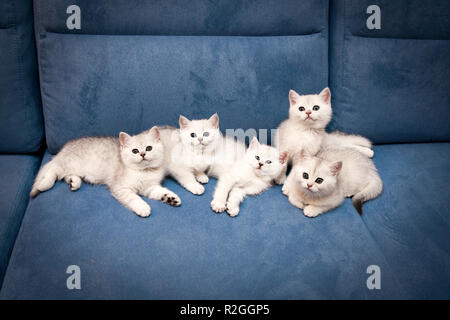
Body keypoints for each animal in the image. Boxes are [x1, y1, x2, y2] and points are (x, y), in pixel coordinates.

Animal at [29, 127, 181, 218]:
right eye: (135, 151)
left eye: (149, 148)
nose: (143, 154)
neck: (144, 171)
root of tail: (64, 149)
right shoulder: (121, 188)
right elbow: (134, 198)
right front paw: (143, 207)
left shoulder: (150, 187)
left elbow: (160, 192)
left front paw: (171, 198)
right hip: (68, 164)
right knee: (53, 169)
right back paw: (44, 184)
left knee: (66, 176)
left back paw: (74, 182)